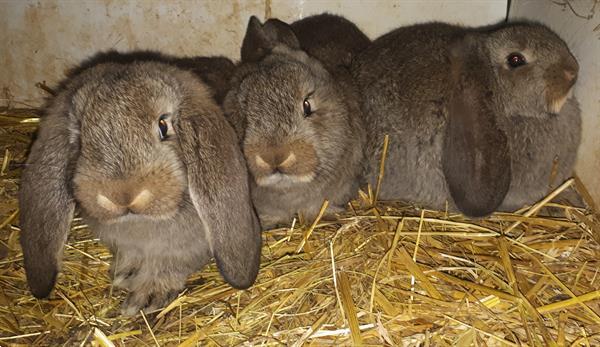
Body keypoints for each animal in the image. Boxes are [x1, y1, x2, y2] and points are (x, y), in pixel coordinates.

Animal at [18, 61, 262, 316]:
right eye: (81, 135)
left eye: (164, 125)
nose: (122, 197)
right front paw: (125, 273)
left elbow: (171, 264)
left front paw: (147, 297)